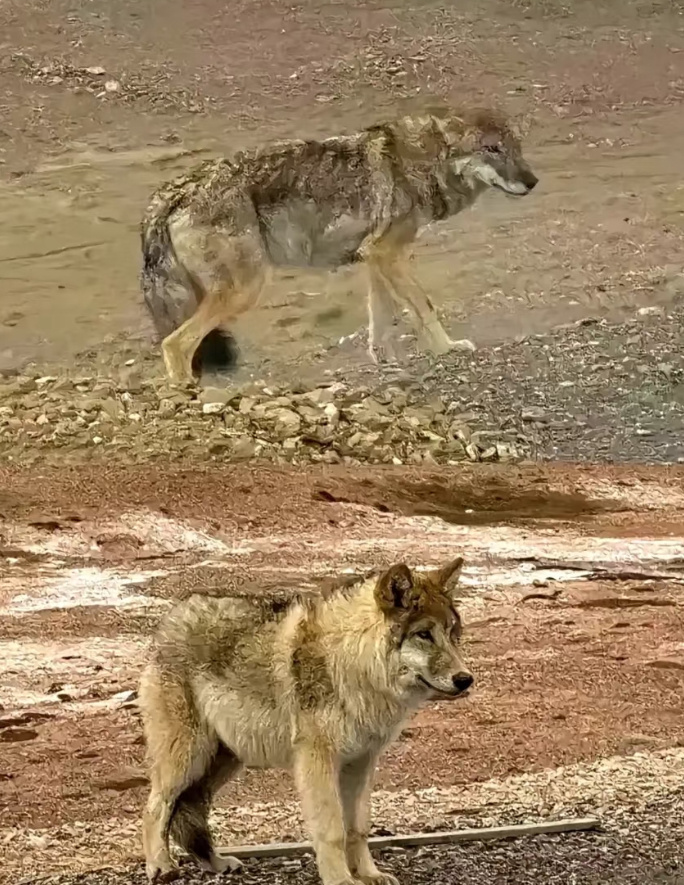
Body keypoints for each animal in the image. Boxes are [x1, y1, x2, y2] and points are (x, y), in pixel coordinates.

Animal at [138, 560, 470, 884]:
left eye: (452, 633)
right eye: (424, 634)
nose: (466, 679)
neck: (351, 663)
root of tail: (170, 618)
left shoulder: (362, 762)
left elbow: (358, 827)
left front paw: (368, 874)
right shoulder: (318, 760)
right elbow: (333, 830)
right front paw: (341, 880)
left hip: (224, 762)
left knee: (191, 809)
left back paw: (215, 863)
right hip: (187, 759)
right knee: (155, 807)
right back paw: (161, 867)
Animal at [143, 105, 540, 382]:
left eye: (516, 148)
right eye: (492, 149)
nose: (533, 182)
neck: (421, 162)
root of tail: (170, 193)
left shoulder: (375, 258)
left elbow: (381, 317)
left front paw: (386, 360)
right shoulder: (388, 254)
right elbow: (423, 307)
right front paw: (448, 349)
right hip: (244, 290)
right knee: (174, 344)